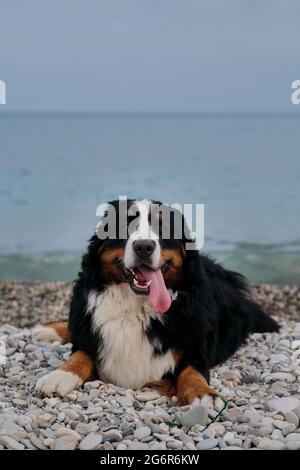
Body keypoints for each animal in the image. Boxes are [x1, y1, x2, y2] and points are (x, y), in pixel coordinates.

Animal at [33, 198, 278, 404]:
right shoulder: (90, 333)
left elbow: (192, 372)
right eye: (125, 225)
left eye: (163, 228)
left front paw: (203, 395)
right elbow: (81, 354)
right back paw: (45, 330)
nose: (144, 246)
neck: (135, 308)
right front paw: (59, 375)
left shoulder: (194, 348)